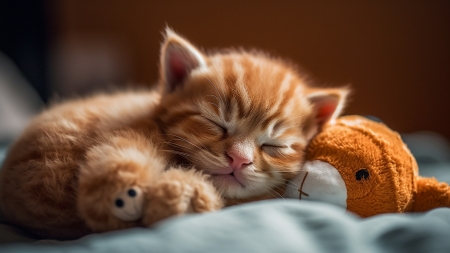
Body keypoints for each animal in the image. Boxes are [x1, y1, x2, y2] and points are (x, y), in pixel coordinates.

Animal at [0, 29, 348, 239]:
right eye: (216, 123)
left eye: (274, 145)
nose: (239, 160)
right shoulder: (133, 128)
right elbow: (123, 147)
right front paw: (124, 192)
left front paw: (180, 196)